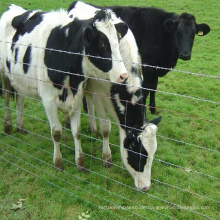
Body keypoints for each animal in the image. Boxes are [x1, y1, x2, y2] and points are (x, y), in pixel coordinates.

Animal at [0, 4, 129, 170]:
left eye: (117, 42)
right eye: (102, 44)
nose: (123, 75)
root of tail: (13, 8)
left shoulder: (77, 96)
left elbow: (77, 131)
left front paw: (80, 162)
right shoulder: (48, 99)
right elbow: (56, 132)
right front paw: (58, 162)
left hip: (20, 78)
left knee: (20, 100)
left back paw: (20, 126)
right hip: (4, 74)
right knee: (6, 98)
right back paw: (8, 126)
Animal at [67, 1, 162, 191]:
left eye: (152, 154)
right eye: (138, 155)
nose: (146, 187)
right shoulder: (99, 92)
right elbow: (106, 128)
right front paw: (107, 158)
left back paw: (92, 127)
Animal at [68, 0, 210, 113]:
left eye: (193, 34)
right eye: (178, 33)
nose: (185, 54)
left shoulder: (155, 69)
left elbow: (154, 88)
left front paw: (153, 108)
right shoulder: (146, 67)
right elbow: (146, 90)